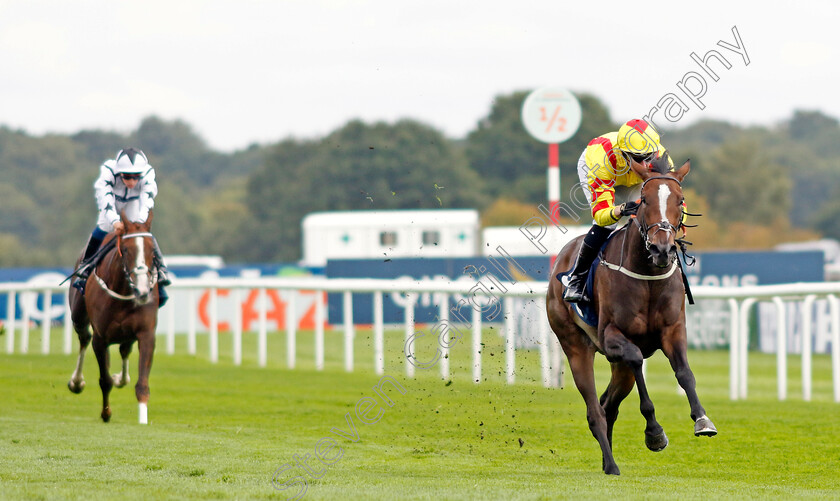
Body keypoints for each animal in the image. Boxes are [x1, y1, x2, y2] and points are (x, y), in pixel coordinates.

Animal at [68, 209, 160, 424]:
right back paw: (76, 382)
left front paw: (143, 420)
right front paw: (106, 412)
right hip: (79, 316)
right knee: (84, 338)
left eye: (152, 250)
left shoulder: (146, 333)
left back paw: (121, 377)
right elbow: (105, 380)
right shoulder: (101, 338)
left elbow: (142, 384)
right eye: (125, 250)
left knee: (125, 349)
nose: (143, 291)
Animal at [548, 155, 720, 472]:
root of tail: (561, 259)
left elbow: (684, 372)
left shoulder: (673, 330)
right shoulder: (612, 337)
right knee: (595, 410)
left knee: (608, 405)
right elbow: (638, 360)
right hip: (576, 345)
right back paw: (612, 465)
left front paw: (702, 420)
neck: (648, 275)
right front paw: (654, 432)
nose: (663, 248)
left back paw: (608, 463)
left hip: (617, 367)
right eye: (644, 200)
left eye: (680, 200)